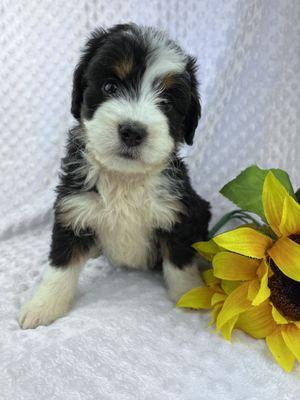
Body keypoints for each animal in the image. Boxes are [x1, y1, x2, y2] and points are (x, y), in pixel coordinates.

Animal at [19, 23, 211, 328]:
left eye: (167, 103)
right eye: (110, 86)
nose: (132, 131)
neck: (125, 179)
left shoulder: (178, 212)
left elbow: (180, 261)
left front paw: (190, 295)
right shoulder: (73, 208)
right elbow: (60, 264)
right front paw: (43, 305)